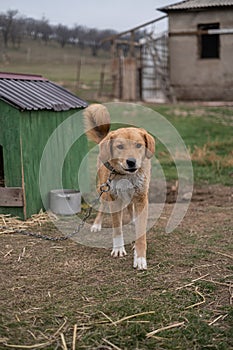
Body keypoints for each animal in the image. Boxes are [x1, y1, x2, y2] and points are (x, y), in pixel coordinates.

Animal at [83, 104, 155, 270]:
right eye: (120, 146)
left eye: (138, 145)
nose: (131, 162)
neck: (126, 176)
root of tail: (104, 139)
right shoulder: (113, 198)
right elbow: (117, 227)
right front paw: (118, 249)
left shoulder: (141, 199)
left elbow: (141, 232)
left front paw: (140, 257)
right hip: (104, 192)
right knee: (103, 208)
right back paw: (97, 225)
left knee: (130, 210)